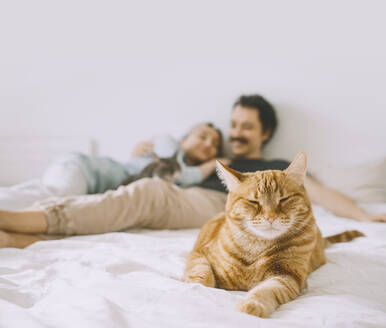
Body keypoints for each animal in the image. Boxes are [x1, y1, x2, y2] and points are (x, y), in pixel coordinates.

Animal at [182, 153, 364, 318]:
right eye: (253, 202)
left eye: (283, 199)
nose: (270, 217)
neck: (256, 247)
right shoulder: (199, 253)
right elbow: (201, 270)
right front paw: (194, 284)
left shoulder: (286, 275)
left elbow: (267, 290)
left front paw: (253, 304)